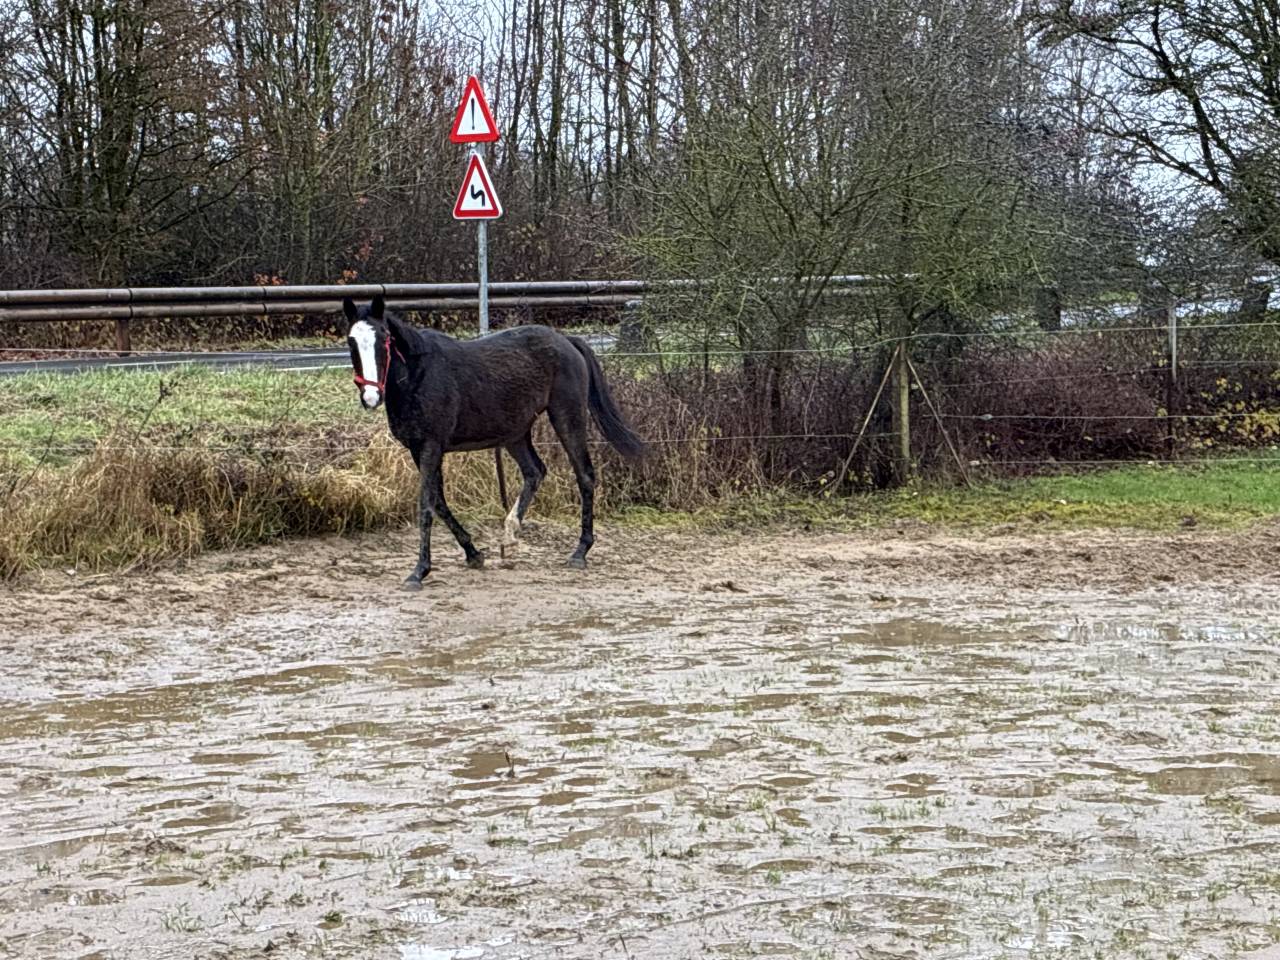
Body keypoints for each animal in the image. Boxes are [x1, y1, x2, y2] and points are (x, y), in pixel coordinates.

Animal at [342, 295, 645, 590]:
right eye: (351, 340)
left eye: (384, 338)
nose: (371, 397)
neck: (419, 376)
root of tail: (567, 341)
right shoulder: (418, 450)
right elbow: (439, 502)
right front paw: (473, 554)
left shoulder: (431, 447)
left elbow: (426, 506)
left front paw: (418, 573)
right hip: (516, 434)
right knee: (535, 472)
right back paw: (509, 538)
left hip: (566, 416)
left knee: (584, 475)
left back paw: (580, 552)